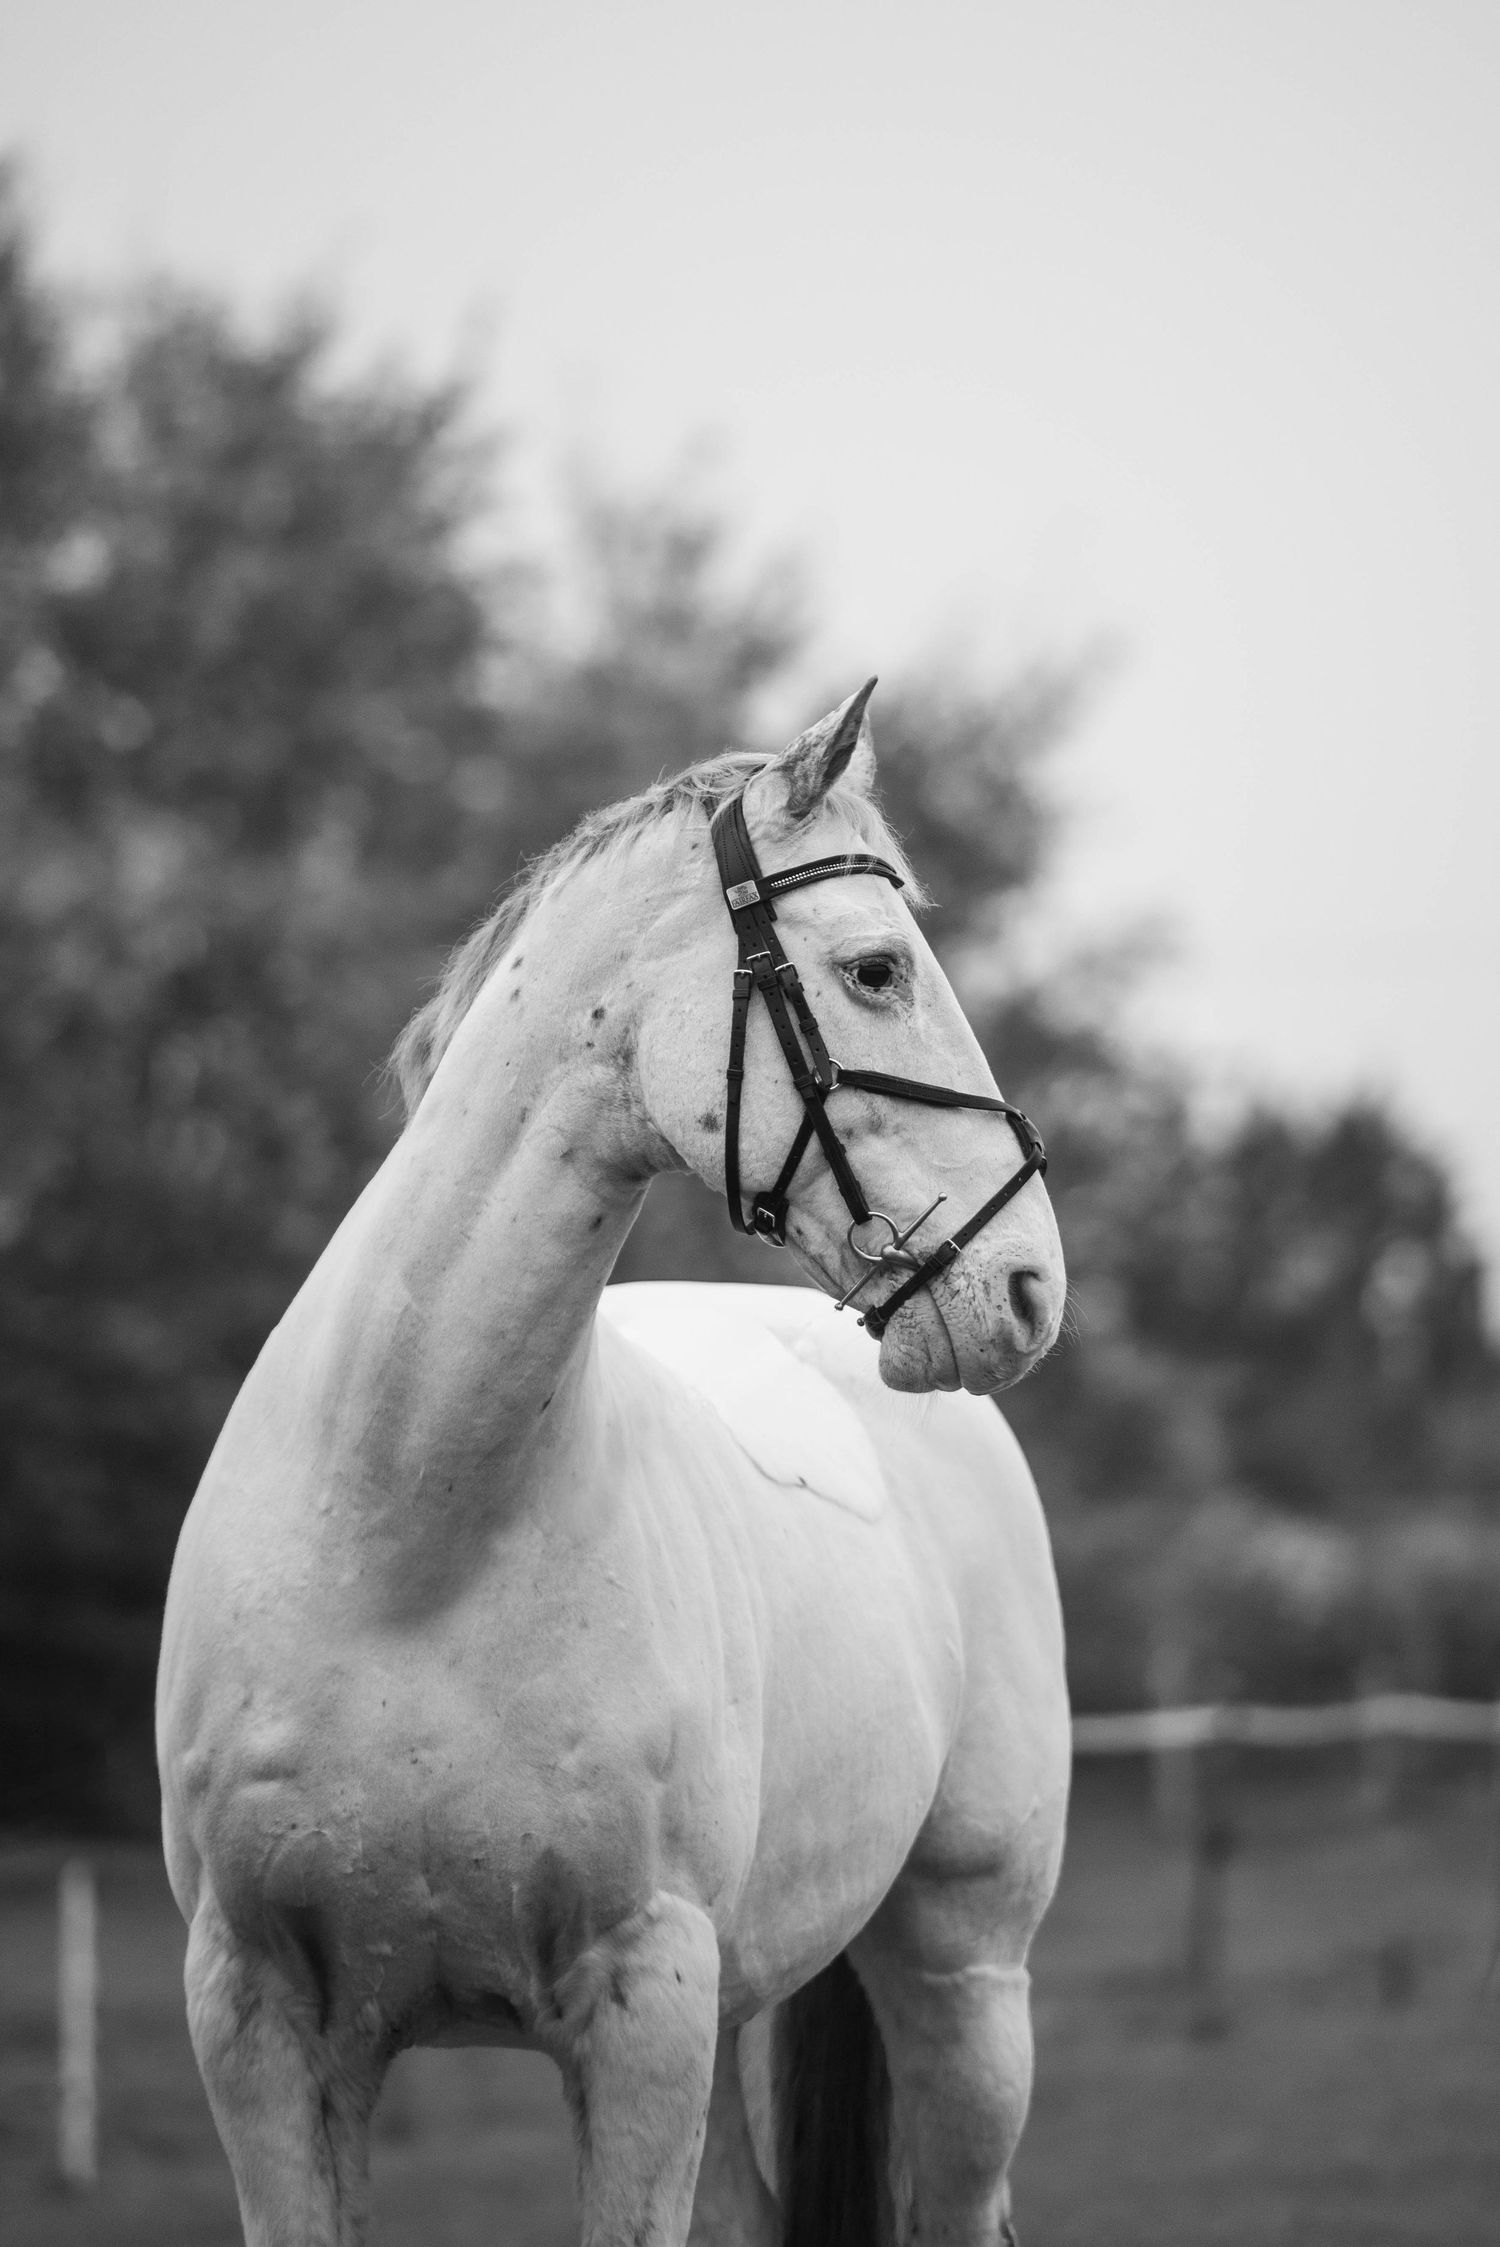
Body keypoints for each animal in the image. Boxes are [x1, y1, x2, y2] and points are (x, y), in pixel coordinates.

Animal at [156, 683, 1071, 2247]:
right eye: (876, 968)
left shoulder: (647, 2002)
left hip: (966, 1984)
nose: (1026, 1289)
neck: (406, 1540)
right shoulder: (257, 2017)